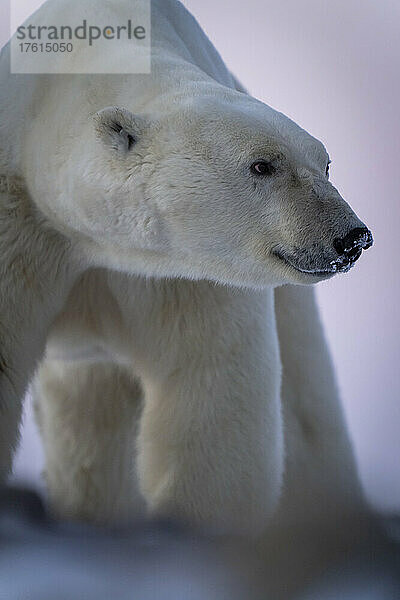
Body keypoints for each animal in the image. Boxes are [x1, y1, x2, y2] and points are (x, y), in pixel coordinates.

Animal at [0, 0, 376, 536]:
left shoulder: (187, 273)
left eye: (325, 164)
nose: (352, 236)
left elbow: (211, 384)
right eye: (263, 165)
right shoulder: (21, 224)